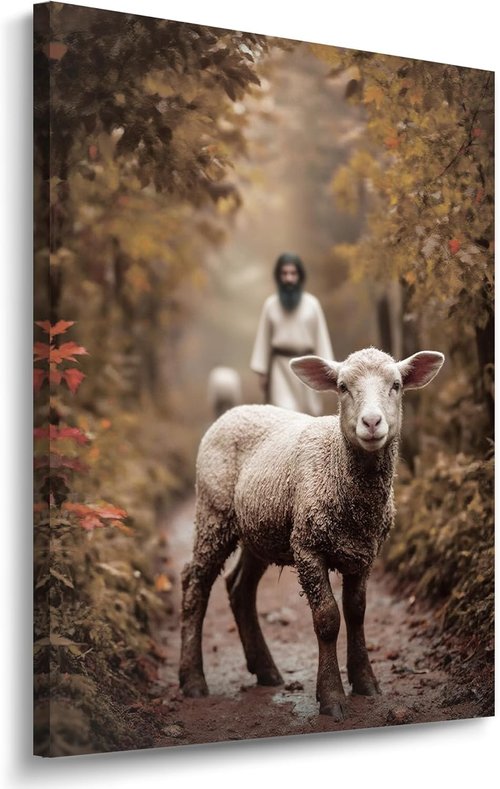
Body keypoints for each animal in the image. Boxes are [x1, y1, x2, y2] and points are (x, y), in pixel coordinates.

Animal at [179, 347, 444, 720]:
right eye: (342, 386)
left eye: (396, 385)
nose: (372, 423)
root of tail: (235, 411)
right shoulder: (307, 547)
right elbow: (328, 618)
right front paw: (331, 695)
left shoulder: (364, 552)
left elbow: (357, 612)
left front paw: (365, 681)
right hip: (213, 512)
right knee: (195, 585)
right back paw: (193, 680)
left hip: (262, 530)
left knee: (239, 588)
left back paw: (266, 670)